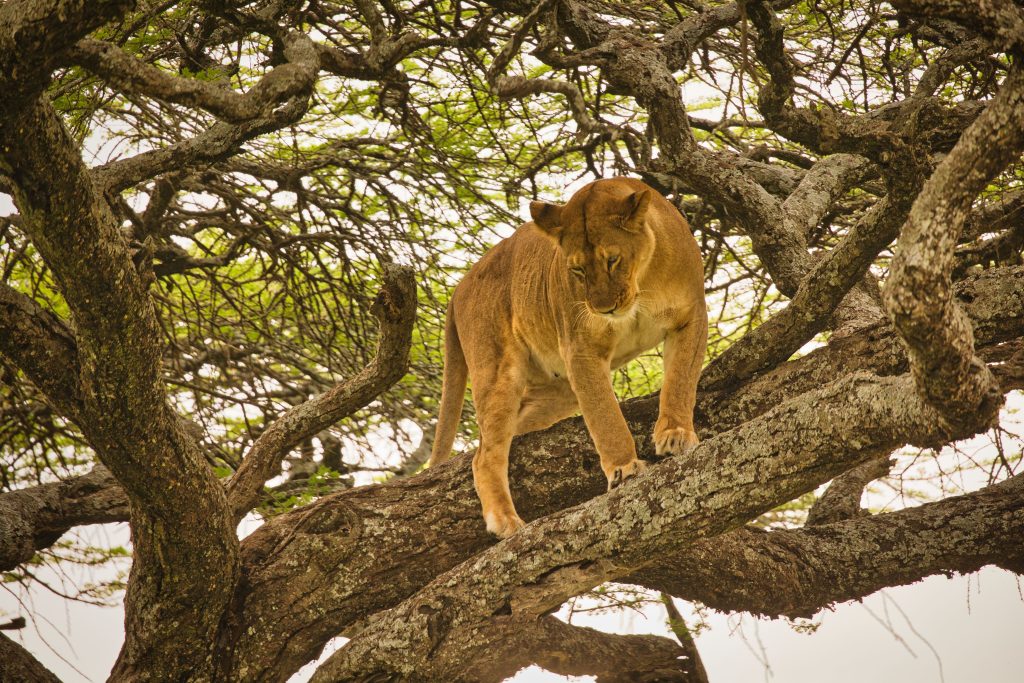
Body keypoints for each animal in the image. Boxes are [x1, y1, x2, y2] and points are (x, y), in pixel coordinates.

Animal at [428, 177, 707, 538]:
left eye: (612, 260)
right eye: (576, 269)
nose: (604, 309)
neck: (641, 284)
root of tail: (458, 288)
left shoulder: (691, 317)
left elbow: (680, 382)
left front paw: (675, 434)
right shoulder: (581, 348)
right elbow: (605, 416)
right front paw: (624, 470)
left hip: (557, 393)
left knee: (492, 440)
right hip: (500, 370)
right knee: (485, 455)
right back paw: (505, 520)